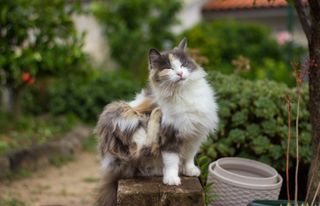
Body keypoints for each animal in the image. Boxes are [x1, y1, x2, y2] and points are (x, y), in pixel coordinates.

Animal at [94, 38, 218, 206]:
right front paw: (171, 179)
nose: (180, 73)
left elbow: (189, 156)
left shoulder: (195, 135)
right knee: (144, 147)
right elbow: (171, 159)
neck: (182, 93)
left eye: (183, 65)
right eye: (169, 68)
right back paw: (157, 113)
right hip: (125, 117)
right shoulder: (169, 134)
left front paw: (189, 170)